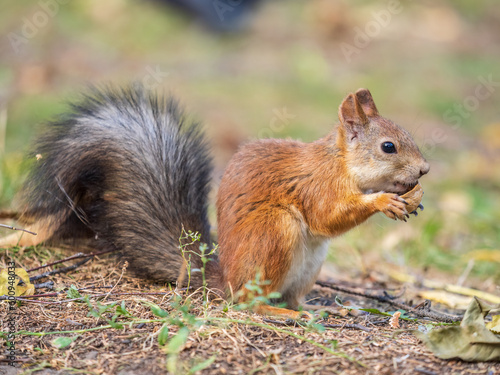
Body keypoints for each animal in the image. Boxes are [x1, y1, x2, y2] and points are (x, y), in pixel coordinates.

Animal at [0, 84, 430, 320]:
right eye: (388, 147)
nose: (425, 170)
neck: (339, 162)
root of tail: (225, 278)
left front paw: (412, 198)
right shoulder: (316, 186)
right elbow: (327, 216)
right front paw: (386, 201)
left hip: (309, 265)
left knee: (292, 297)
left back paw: (315, 309)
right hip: (275, 233)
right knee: (247, 302)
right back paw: (274, 311)